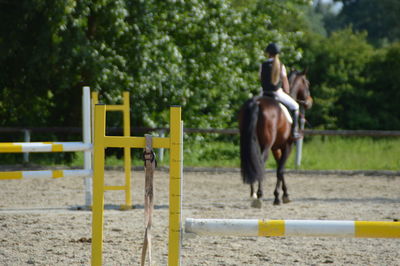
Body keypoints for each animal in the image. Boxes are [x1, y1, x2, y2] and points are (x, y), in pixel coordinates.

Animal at [238, 69, 312, 207]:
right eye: (307, 83)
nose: (310, 102)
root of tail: (257, 103)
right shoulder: (287, 146)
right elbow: (281, 170)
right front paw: (281, 197)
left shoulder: (276, 148)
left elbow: (279, 167)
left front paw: (281, 195)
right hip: (266, 144)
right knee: (261, 161)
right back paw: (259, 196)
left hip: (250, 141)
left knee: (251, 160)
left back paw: (253, 193)